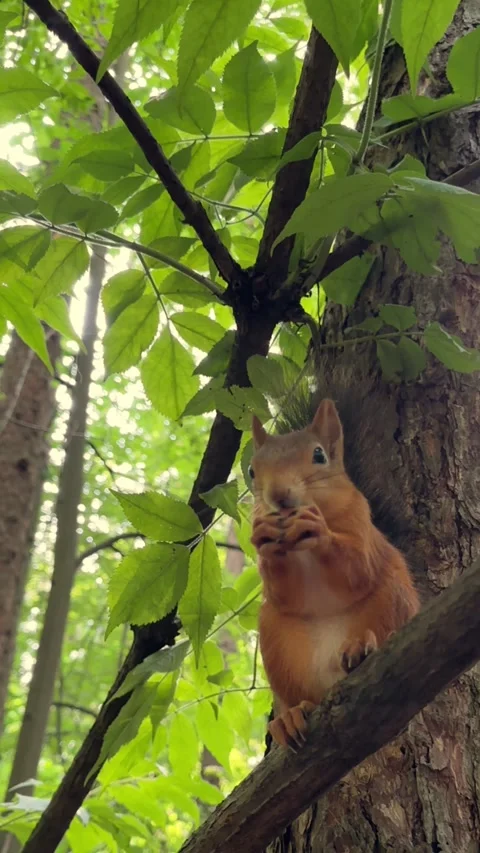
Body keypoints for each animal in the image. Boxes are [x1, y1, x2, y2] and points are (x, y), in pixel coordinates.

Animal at [249, 380, 420, 750]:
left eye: (319, 455)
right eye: (252, 470)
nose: (278, 495)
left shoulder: (362, 524)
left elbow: (356, 567)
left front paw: (319, 531)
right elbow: (282, 590)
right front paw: (266, 538)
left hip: (392, 601)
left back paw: (361, 649)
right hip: (278, 646)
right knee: (301, 697)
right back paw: (289, 717)